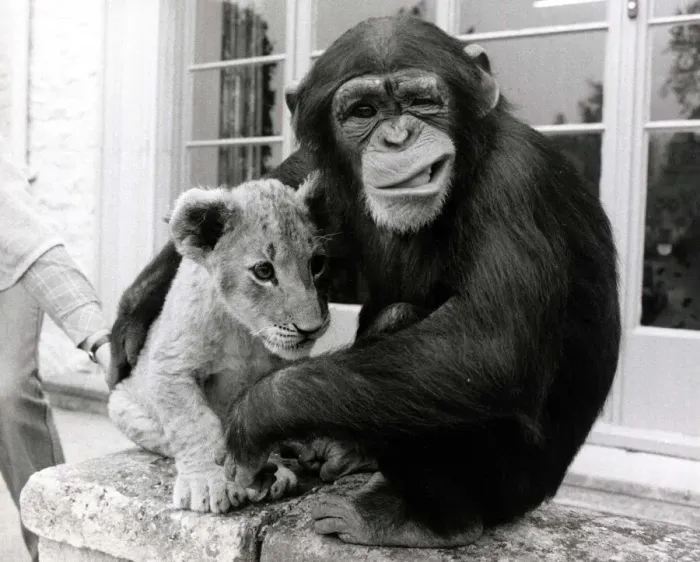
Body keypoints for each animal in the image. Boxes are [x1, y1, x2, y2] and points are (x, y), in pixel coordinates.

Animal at [108, 178, 330, 514]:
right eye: (264, 271)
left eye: (317, 264)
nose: (312, 328)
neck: (244, 333)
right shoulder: (171, 367)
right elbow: (194, 423)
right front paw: (208, 482)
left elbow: (262, 415)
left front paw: (270, 471)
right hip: (120, 403)